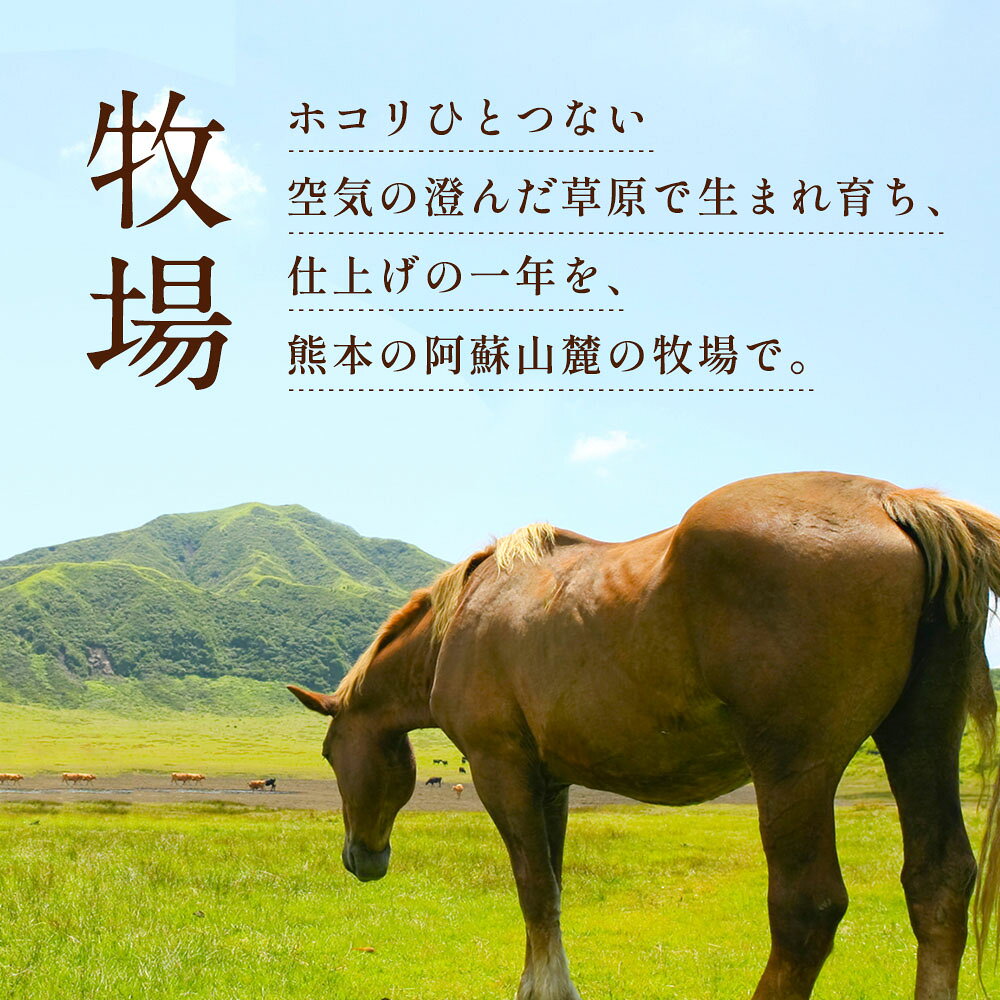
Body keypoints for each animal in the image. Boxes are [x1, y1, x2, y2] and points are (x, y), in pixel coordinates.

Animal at [289, 471, 1000, 1000]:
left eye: (328, 753)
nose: (361, 860)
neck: (462, 624)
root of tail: (891, 502)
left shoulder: (501, 771)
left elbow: (533, 885)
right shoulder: (550, 782)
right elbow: (550, 889)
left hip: (795, 769)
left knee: (807, 910)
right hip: (919, 739)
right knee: (937, 882)